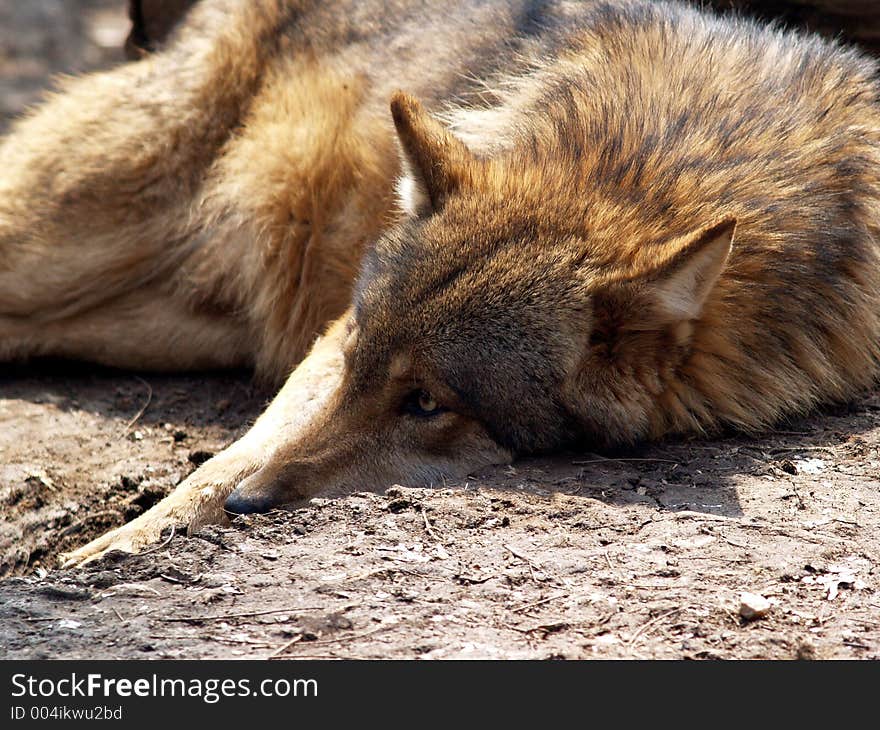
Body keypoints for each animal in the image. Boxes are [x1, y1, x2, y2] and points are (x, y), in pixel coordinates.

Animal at [1, 0, 880, 564]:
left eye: (426, 404)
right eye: (358, 362)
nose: (255, 505)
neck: (651, 163)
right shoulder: (331, 337)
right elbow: (238, 452)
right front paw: (123, 544)